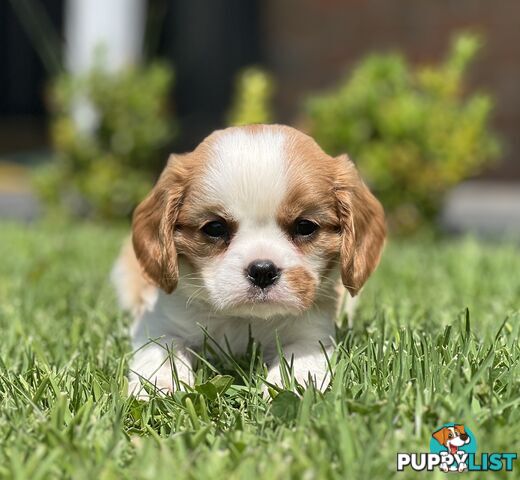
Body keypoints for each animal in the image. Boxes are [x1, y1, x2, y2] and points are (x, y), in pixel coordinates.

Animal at [110, 124, 386, 398]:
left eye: (305, 226)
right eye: (215, 228)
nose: (262, 270)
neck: (245, 319)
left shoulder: (313, 332)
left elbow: (301, 357)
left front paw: (289, 384)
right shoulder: (158, 322)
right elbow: (163, 349)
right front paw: (159, 384)